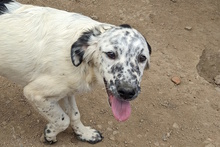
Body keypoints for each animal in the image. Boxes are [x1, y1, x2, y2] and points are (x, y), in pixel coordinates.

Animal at [0, 0, 151, 144]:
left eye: (142, 58)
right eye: (111, 54)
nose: (127, 92)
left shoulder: (68, 90)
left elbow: (75, 114)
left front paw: (84, 134)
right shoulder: (34, 93)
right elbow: (63, 120)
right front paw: (49, 134)